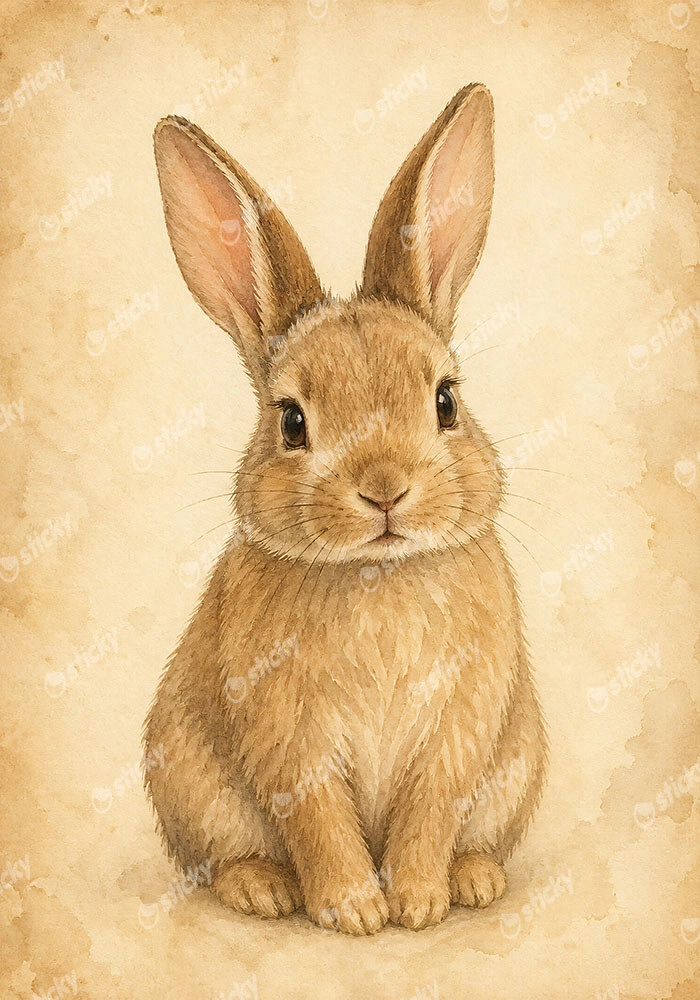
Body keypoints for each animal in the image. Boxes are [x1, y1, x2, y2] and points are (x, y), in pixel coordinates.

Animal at [143, 83, 548, 935]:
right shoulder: (285, 734)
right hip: (193, 786)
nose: (384, 488)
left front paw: (418, 903)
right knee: (225, 855)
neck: (376, 574)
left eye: (445, 400)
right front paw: (356, 911)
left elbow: (432, 807)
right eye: (292, 421)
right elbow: (318, 818)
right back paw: (263, 890)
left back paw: (474, 879)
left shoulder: (462, 724)